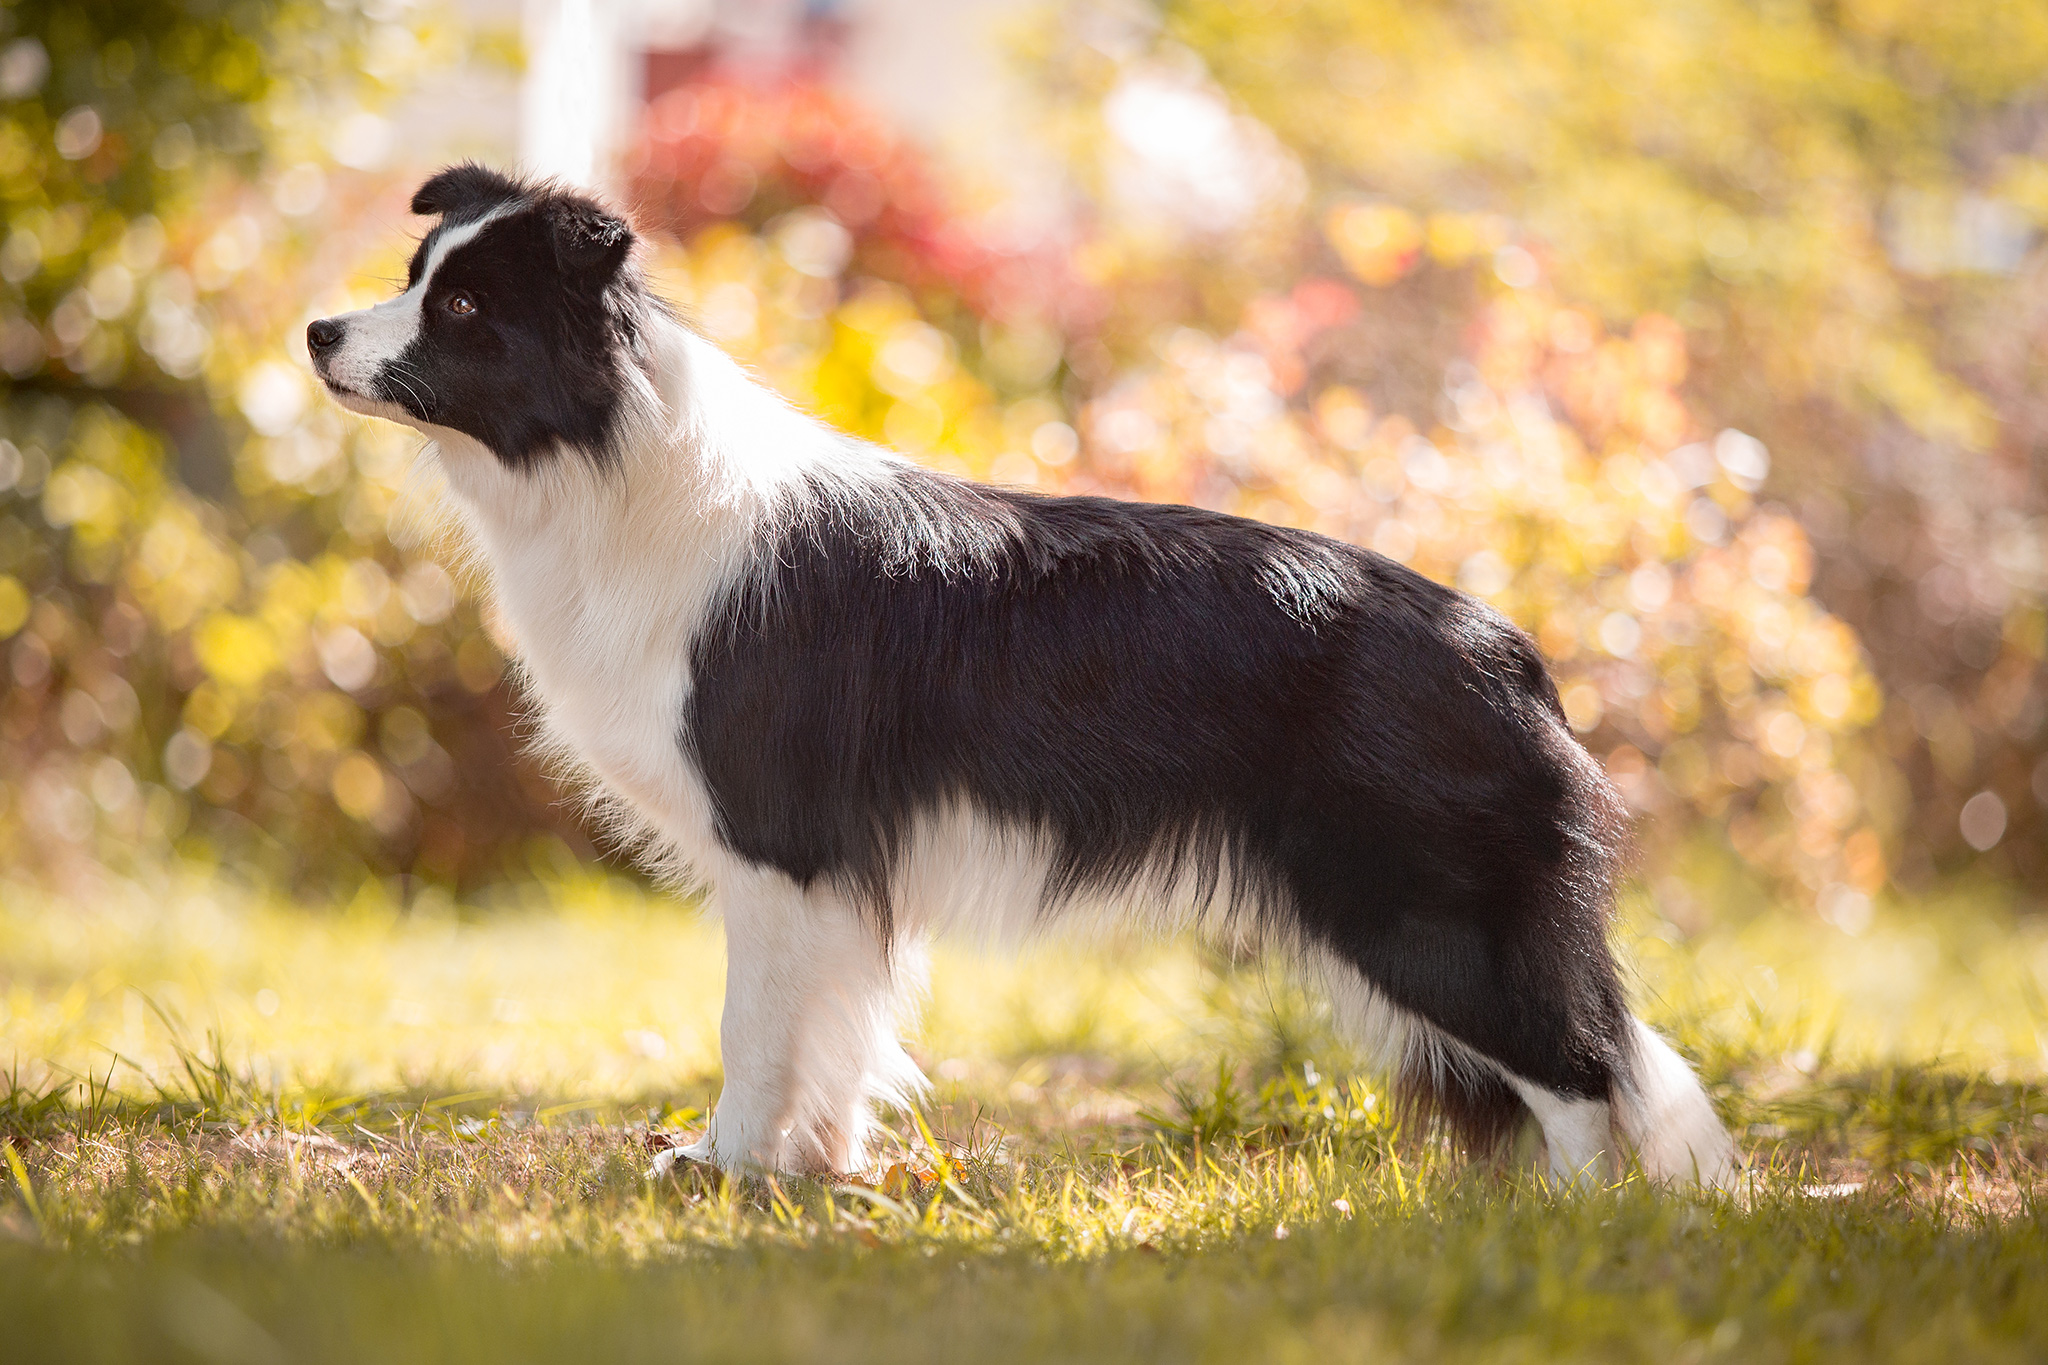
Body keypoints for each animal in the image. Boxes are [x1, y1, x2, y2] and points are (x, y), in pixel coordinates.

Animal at [311, 167, 1736, 1186]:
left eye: (465, 309)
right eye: (414, 276)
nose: (316, 330)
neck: (607, 462)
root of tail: (1505, 646)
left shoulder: (776, 846)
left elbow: (753, 1033)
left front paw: (722, 1170)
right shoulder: (840, 877)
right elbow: (840, 1040)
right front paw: (817, 1174)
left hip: (1415, 906)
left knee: (1584, 1072)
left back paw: (1572, 1225)